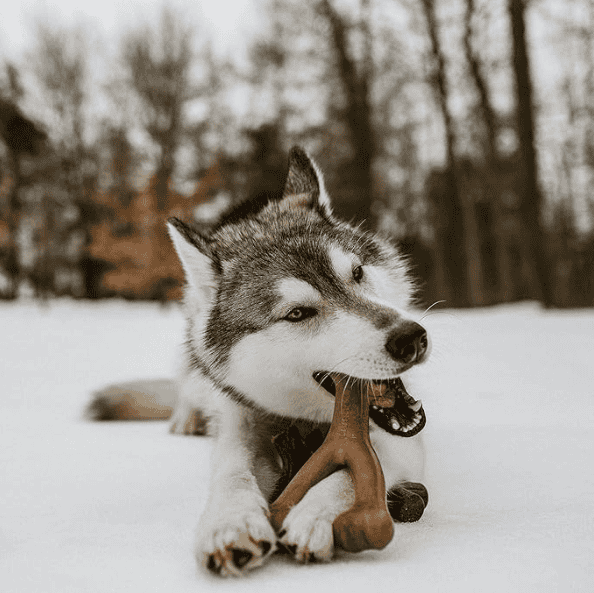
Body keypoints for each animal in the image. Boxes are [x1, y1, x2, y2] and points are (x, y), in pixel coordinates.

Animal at [88, 147, 428, 572]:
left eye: (357, 273)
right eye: (297, 313)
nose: (411, 337)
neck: (302, 422)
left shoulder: (400, 444)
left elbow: (351, 473)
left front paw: (315, 511)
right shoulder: (238, 424)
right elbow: (232, 474)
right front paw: (230, 523)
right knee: (186, 385)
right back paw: (186, 416)